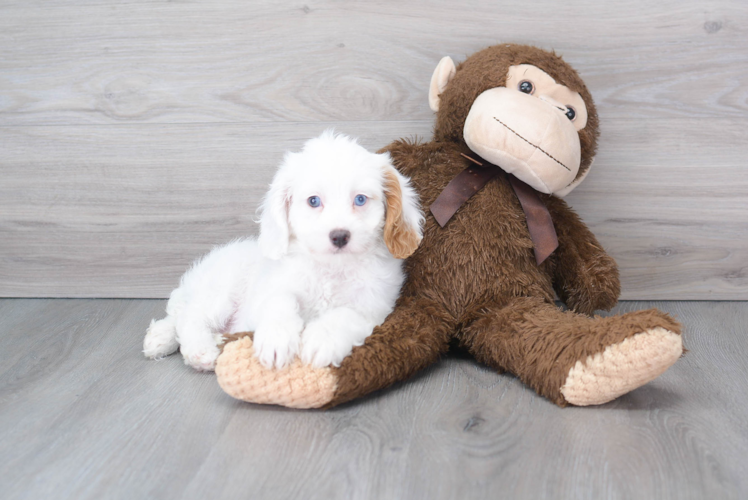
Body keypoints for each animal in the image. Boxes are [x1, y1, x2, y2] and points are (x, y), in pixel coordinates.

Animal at [140, 132, 420, 372]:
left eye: (360, 199)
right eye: (314, 201)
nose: (340, 236)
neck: (330, 268)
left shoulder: (372, 308)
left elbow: (343, 315)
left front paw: (320, 340)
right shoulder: (273, 288)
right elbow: (281, 302)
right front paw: (277, 340)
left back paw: (160, 339)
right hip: (220, 293)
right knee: (190, 316)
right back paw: (199, 350)